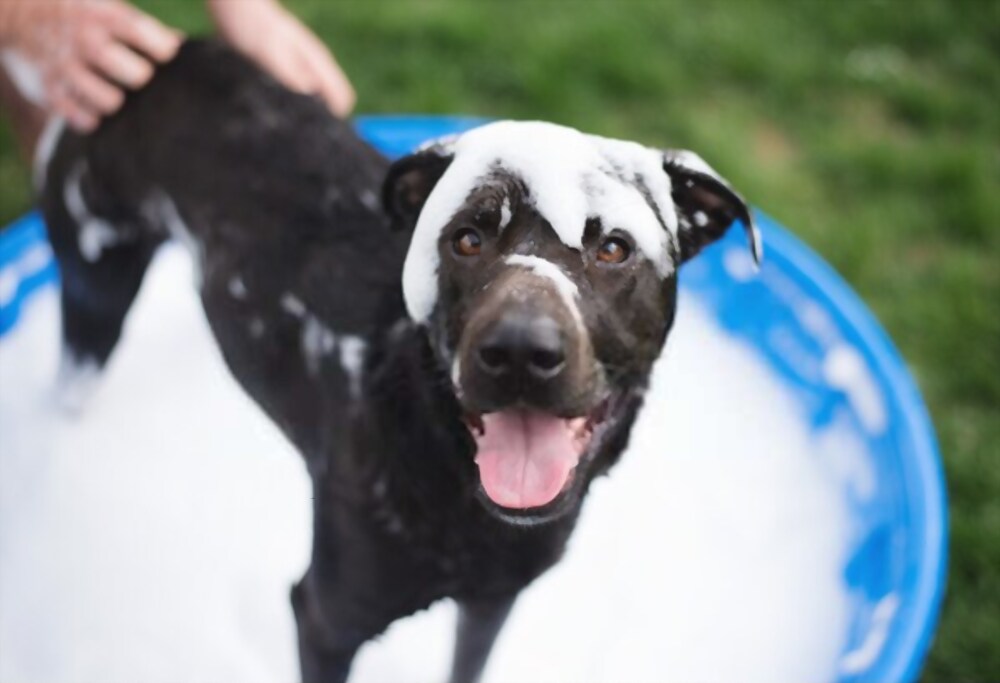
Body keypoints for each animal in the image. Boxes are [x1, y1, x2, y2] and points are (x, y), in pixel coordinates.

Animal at [37, 40, 756, 683]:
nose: (519, 353)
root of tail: (166, 53)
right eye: (465, 239)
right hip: (95, 291)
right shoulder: (324, 619)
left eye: (613, 247)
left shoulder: (493, 602)